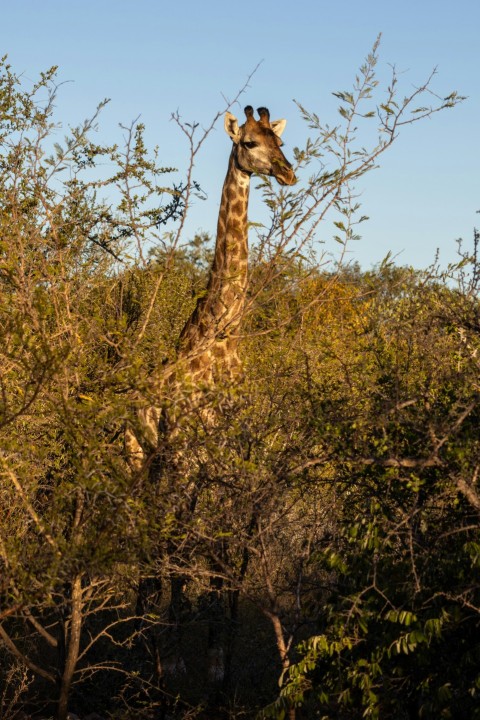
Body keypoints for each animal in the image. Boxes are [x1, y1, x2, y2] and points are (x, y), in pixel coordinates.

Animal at [127, 105, 296, 687]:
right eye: (248, 143)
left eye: (278, 140)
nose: (289, 173)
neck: (223, 332)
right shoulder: (194, 455)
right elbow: (192, 550)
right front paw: (186, 658)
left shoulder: (228, 455)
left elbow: (222, 552)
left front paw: (217, 656)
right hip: (151, 464)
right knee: (157, 541)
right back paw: (148, 645)